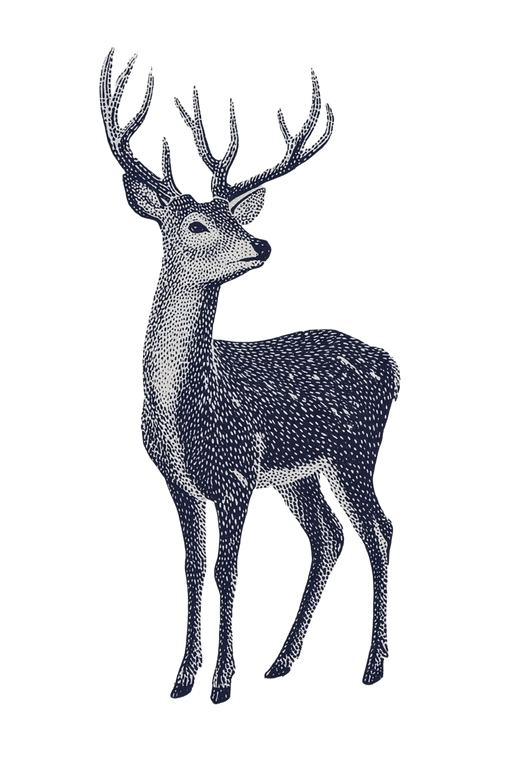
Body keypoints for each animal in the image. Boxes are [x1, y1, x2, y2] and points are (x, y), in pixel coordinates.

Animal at [97, 44, 403, 708]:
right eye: (196, 225)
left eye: (235, 219)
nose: (260, 243)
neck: (183, 407)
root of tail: (390, 364)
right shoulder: (180, 483)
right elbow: (193, 571)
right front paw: (181, 680)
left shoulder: (237, 474)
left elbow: (230, 571)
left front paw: (219, 684)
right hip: (301, 472)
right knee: (328, 537)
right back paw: (282, 662)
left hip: (356, 452)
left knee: (378, 529)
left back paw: (372, 666)